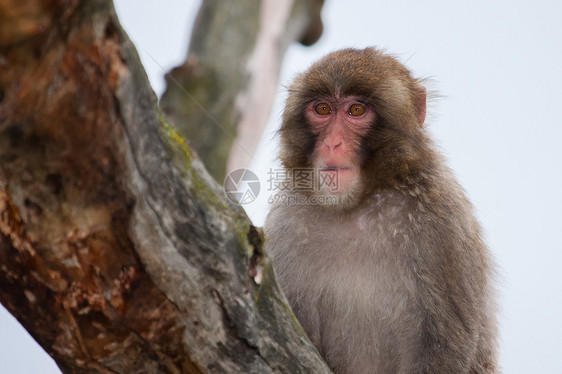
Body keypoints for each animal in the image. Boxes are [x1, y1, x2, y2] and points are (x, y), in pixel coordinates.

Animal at [264, 47, 496, 374]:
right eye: (322, 109)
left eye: (356, 111)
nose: (332, 143)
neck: (356, 205)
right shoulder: (287, 222)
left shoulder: (443, 222)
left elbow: (447, 342)